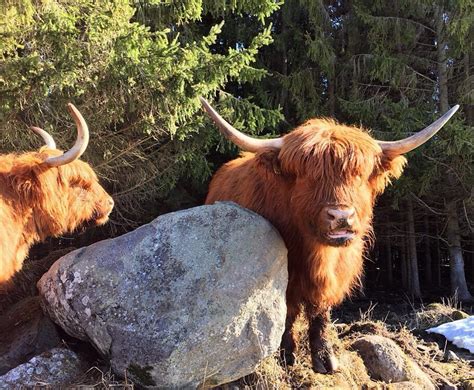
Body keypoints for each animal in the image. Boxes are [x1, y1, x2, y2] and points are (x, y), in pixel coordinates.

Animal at [201, 96, 460, 372]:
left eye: (358, 175)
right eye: (307, 176)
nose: (341, 216)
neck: (319, 257)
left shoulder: (331, 280)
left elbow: (320, 315)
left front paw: (325, 359)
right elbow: (286, 314)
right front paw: (287, 356)